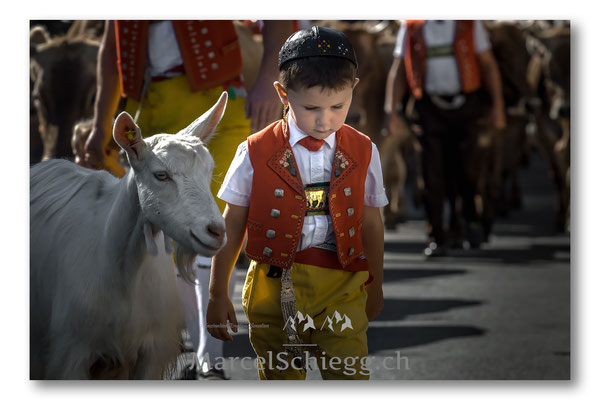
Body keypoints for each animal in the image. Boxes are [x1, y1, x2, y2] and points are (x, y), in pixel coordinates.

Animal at [29, 91, 229, 378]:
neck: (124, 272)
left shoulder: (151, 353)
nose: (216, 231)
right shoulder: (71, 353)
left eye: (209, 170)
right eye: (161, 175)